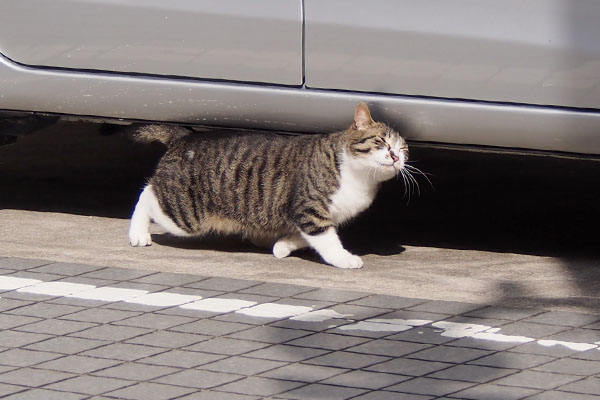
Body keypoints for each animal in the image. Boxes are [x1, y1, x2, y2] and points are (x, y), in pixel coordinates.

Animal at [127, 103, 408, 268]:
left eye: (403, 149)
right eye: (382, 142)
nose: (396, 157)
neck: (361, 178)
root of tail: (185, 138)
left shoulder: (319, 217)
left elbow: (304, 237)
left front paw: (282, 246)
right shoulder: (309, 210)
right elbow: (327, 241)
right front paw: (344, 258)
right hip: (185, 215)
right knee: (146, 195)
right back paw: (138, 233)